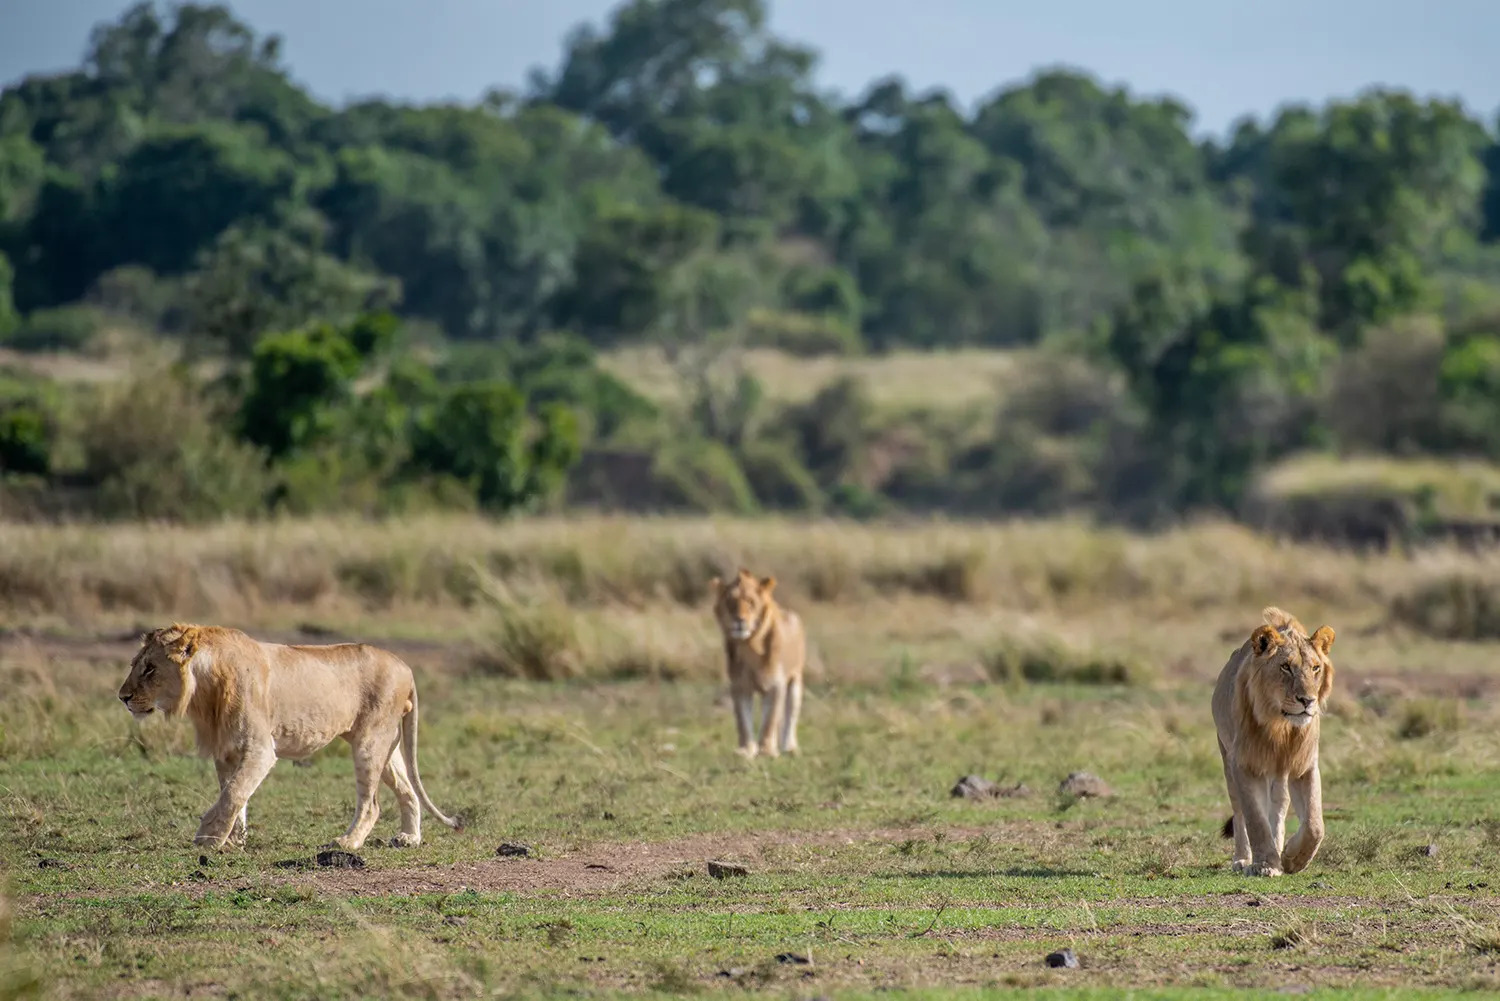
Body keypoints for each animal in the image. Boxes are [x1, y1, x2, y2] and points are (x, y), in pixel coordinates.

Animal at [117, 627, 459, 852]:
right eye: (134, 665)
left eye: (150, 668)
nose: (123, 697)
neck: (205, 690)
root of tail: (406, 667)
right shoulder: (227, 751)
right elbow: (233, 793)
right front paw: (234, 839)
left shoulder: (260, 750)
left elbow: (233, 793)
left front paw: (208, 838)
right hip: (385, 744)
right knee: (408, 789)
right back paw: (409, 838)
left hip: (370, 741)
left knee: (371, 804)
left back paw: (347, 842)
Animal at [708, 567, 804, 756]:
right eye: (730, 602)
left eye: (751, 602)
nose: (739, 620)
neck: (749, 646)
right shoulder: (740, 687)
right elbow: (743, 721)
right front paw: (746, 750)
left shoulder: (776, 686)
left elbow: (770, 721)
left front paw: (766, 751)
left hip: (795, 681)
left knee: (790, 715)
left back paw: (789, 747)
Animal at [1218, 603, 1338, 876]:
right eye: (1285, 667)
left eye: (1315, 668)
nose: (1307, 701)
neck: (1281, 729)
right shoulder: (1244, 764)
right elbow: (1255, 818)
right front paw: (1264, 865)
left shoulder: (1304, 766)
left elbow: (1315, 824)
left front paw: (1293, 859)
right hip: (1227, 758)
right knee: (1239, 811)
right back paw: (1242, 858)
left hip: (1279, 774)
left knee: (1279, 808)